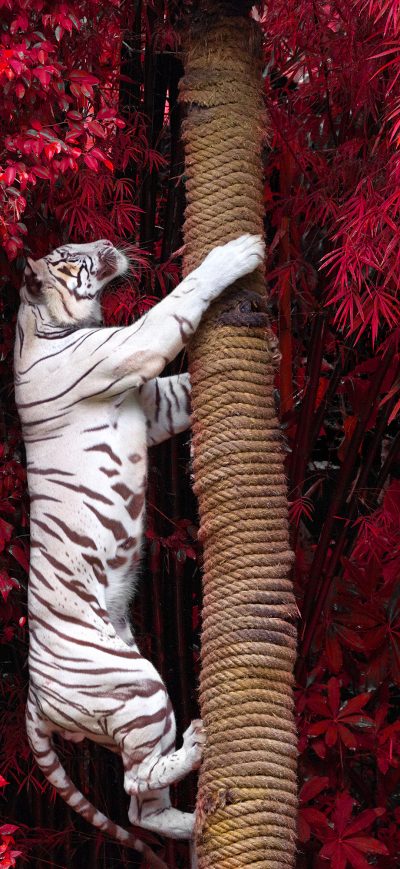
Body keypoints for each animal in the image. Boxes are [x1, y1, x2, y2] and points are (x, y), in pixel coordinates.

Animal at [14, 233, 264, 865]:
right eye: (72, 255)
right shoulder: (132, 347)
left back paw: (192, 822)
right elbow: (180, 299)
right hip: (137, 687)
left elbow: (184, 386)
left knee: (140, 807)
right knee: (131, 790)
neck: (40, 323)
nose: (105, 240)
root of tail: (32, 701)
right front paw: (239, 253)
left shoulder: (154, 404)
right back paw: (197, 749)